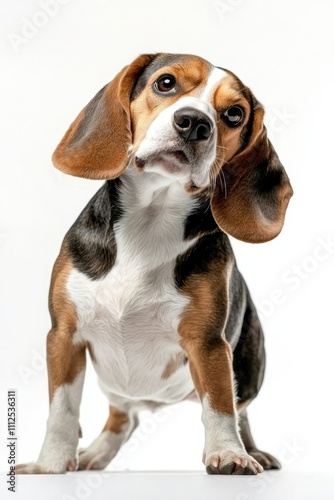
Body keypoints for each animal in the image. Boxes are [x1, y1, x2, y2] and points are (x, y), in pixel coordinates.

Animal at [17, 52, 292, 474]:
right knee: (122, 417)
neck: (150, 220)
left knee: (239, 410)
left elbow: (219, 406)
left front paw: (229, 453)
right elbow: (62, 409)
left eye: (234, 114)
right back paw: (96, 454)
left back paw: (251, 450)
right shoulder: (64, 335)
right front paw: (51, 463)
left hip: (247, 365)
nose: (194, 122)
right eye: (166, 83)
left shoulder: (208, 344)